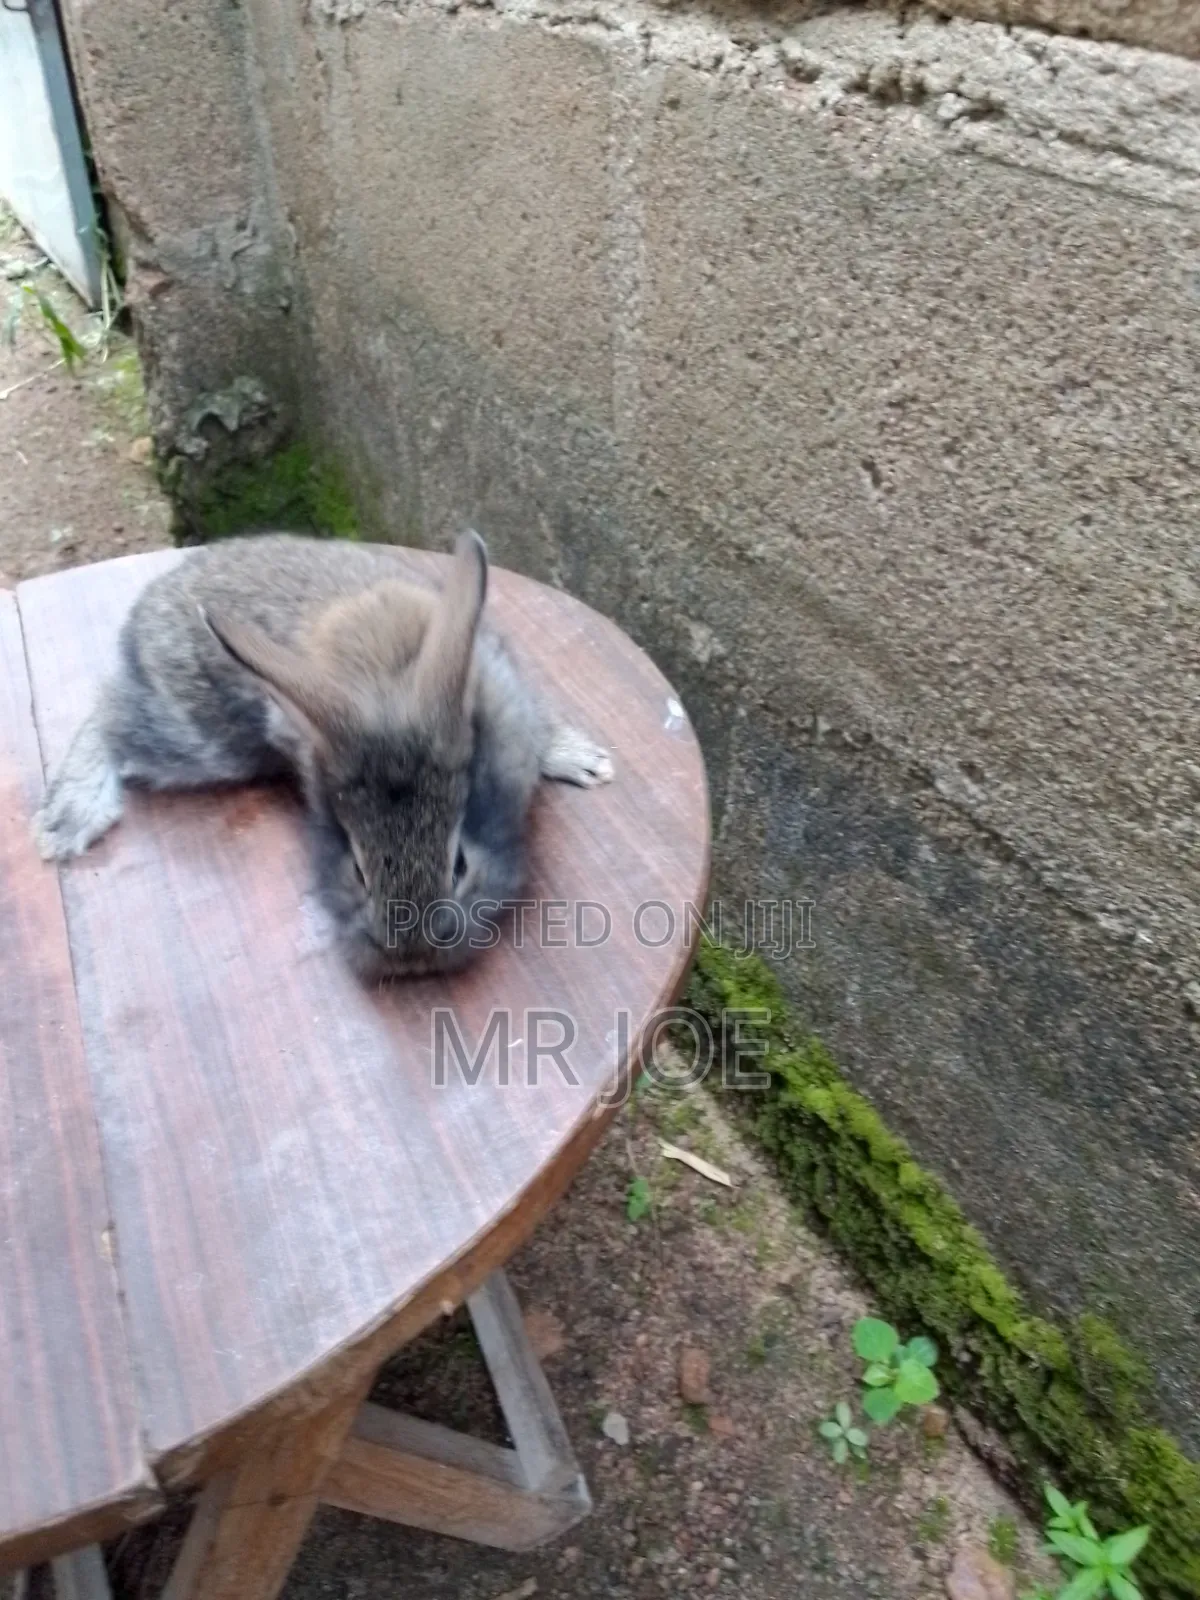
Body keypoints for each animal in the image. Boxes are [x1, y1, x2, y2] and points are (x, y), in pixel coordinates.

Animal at [32, 530, 614, 979]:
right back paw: (69, 818)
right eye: (357, 869)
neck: (387, 681)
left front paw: (586, 761)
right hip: (199, 737)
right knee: (109, 717)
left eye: (460, 865)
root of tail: (149, 604)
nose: (413, 960)